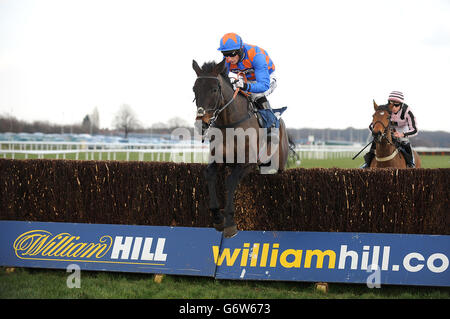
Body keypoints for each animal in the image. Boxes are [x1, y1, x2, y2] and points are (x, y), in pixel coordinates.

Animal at [192, 59, 290, 238]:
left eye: (214, 89)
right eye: (194, 89)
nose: (201, 124)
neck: (229, 123)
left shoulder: (247, 162)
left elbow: (231, 181)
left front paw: (230, 223)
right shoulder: (219, 159)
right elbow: (209, 174)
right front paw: (217, 218)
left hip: (279, 164)